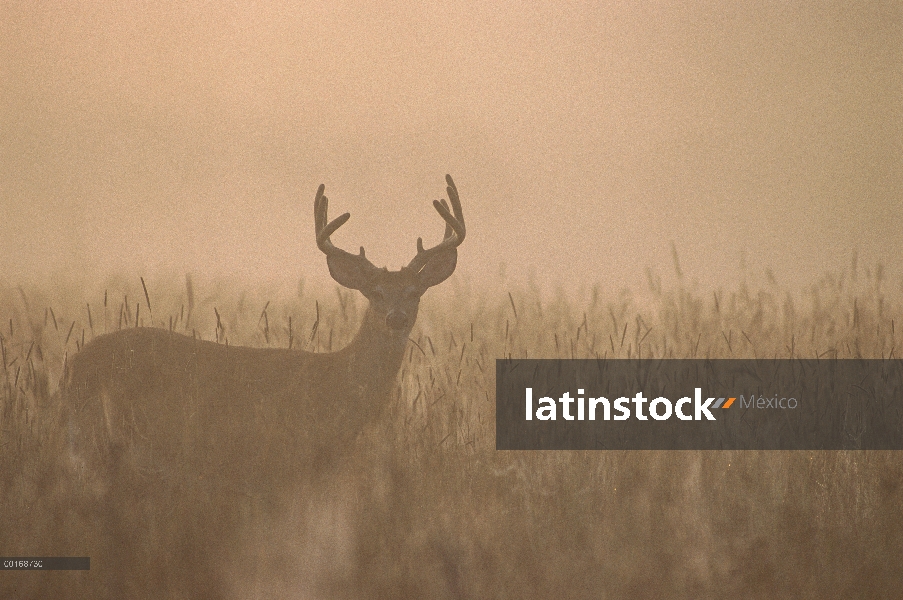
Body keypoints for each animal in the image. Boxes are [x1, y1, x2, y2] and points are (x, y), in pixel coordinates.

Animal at [58, 176, 466, 596]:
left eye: (415, 292)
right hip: (105, 443)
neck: (334, 386)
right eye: (375, 293)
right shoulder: (278, 463)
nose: (396, 318)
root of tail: (73, 365)